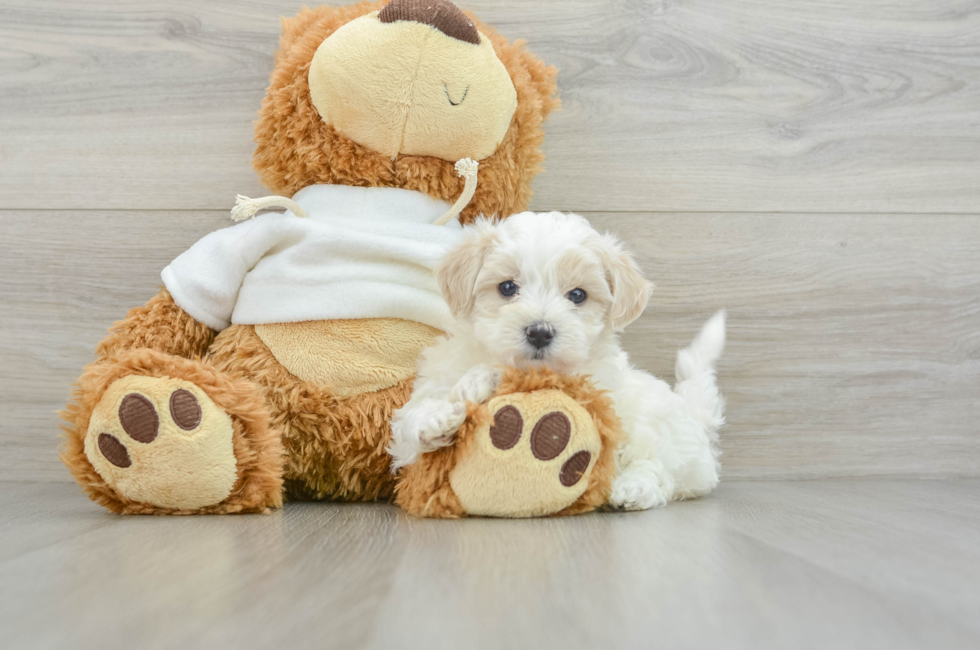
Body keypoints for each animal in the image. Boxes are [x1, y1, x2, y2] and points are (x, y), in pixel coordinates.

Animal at [386, 210, 724, 508]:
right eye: (507, 287)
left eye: (577, 295)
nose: (539, 332)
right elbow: (413, 421)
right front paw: (437, 418)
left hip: (655, 425)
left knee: (657, 465)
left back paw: (634, 488)